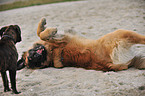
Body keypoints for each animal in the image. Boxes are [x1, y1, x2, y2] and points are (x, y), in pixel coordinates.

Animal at [17, 18, 145, 71]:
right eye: (32, 60)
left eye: (31, 56)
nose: (36, 56)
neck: (51, 53)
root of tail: (109, 64)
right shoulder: (61, 39)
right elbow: (41, 34)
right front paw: (48, 28)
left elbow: (39, 32)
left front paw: (42, 24)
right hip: (122, 33)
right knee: (142, 39)